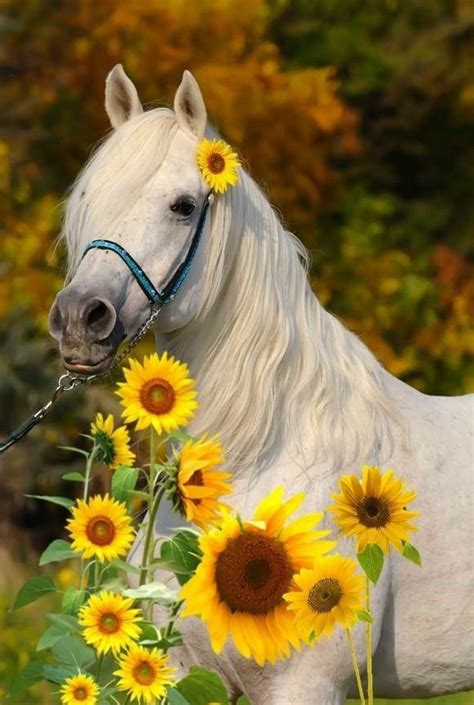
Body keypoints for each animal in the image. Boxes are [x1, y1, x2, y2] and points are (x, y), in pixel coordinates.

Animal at [49, 64, 474, 700]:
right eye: (86, 199)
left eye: (183, 205)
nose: (80, 318)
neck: (268, 453)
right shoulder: (183, 671)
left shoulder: (307, 683)